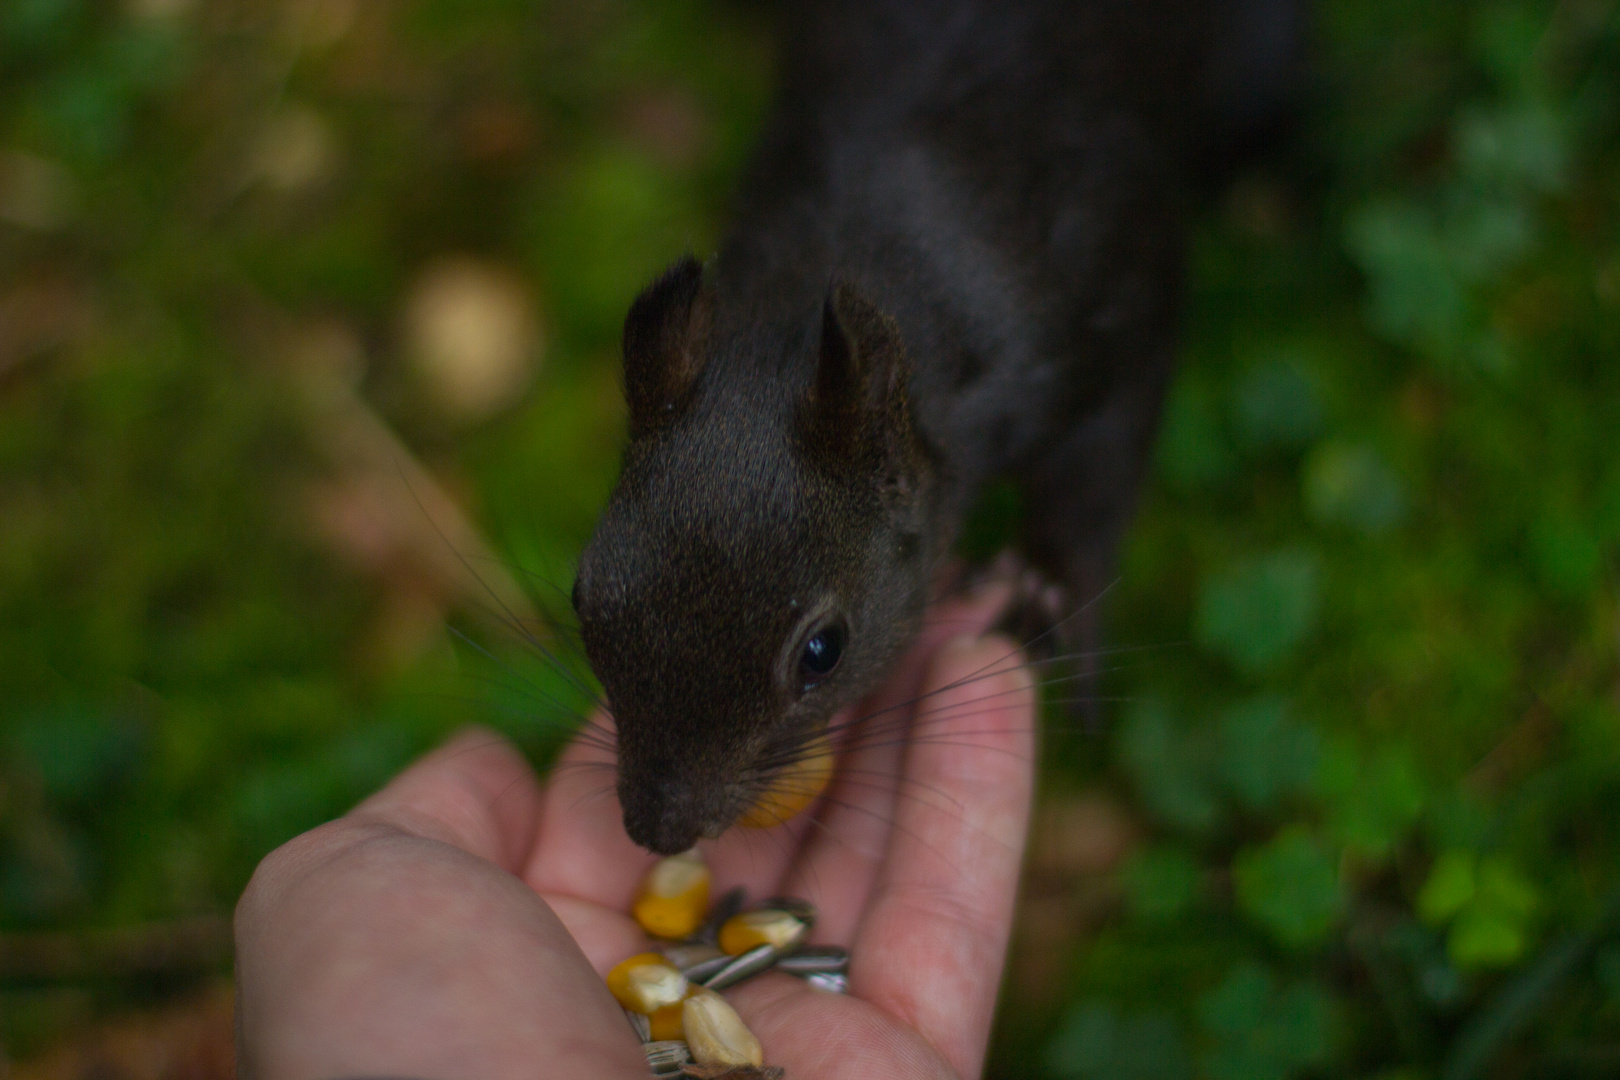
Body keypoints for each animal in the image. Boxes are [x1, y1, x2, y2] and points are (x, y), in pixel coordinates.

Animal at [570, 2, 1302, 861]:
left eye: (823, 651)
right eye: (583, 597)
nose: (658, 830)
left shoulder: (1117, 294)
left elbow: (1102, 465)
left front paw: (1053, 586)